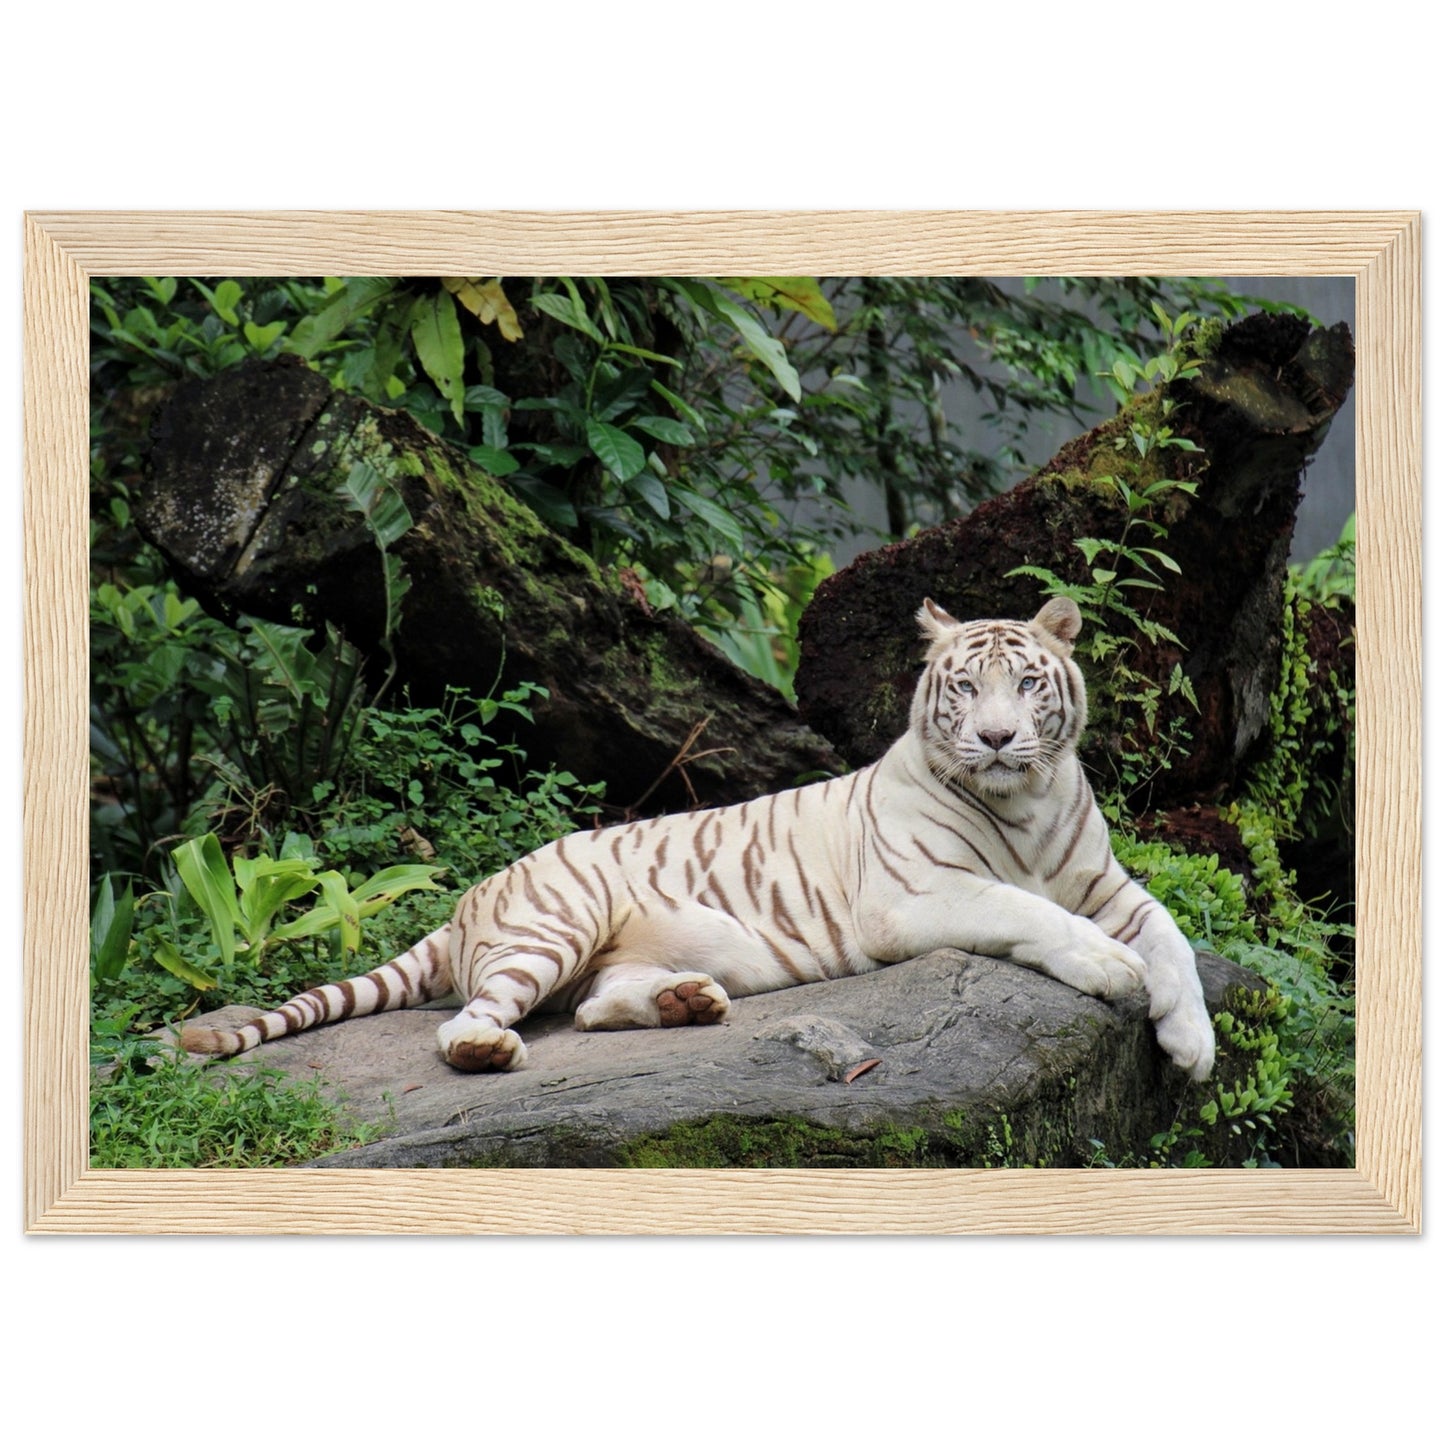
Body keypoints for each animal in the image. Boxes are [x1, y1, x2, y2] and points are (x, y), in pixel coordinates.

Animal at [181, 597, 1216, 1082]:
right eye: (965, 687)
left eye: (1028, 684)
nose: (997, 739)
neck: (1026, 802)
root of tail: (473, 895)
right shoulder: (919, 895)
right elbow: (1032, 915)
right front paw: (1116, 974)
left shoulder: (1104, 881)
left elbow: (1171, 933)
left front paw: (1191, 1042)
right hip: (553, 926)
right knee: (469, 1020)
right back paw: (491, 1051)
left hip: (617, 956)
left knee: (595, 1008)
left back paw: (687, 1001)